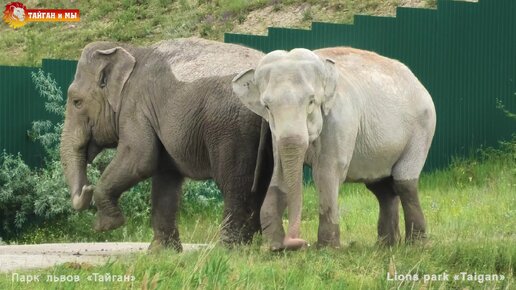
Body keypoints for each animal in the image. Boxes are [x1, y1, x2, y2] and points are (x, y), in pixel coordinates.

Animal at [59, 39, 274, 251]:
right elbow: (165, 177)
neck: (130, 50)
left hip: (232, 129)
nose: (86, 188)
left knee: (235, 184)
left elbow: (140, 159)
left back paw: (228, 250)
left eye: (77, 102)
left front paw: (105, 225)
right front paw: (161, 252)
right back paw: (255, 248)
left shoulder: (136, 107)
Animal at [234, 46, 436, 250]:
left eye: (311, 101)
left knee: (404, 183)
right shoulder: (275, 133)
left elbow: (326, 172)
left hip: (422, 130)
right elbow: (278, 173)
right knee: (382, 189)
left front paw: (327, 249)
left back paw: (416, 246)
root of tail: (417, 80)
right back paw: (386, 246)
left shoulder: (340, 119)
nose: (299, 243)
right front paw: (274, 248)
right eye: (267, 106)